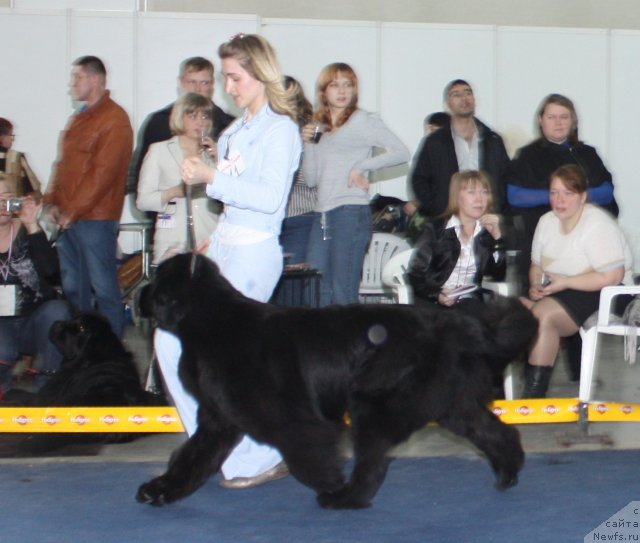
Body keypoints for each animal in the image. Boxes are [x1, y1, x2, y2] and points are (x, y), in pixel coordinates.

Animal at [138, 255, 536, 510]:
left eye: (157, 282)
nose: (139, 294)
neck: (212, 323)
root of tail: (464, 326)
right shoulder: (217, 421)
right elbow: (190, 457)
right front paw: (162, 489)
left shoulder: (294, 420)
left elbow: (307, 455)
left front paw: (330, 482)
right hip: (451, 404)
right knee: (494, 430)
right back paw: (508, 472)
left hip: (374, 404)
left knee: (373, 461)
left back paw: (345, 498)